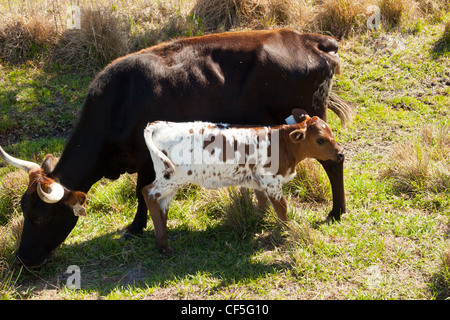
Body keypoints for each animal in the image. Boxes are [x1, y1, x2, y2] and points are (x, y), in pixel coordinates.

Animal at [0, 28, 348, 268]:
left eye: (41, 217)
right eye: (23, 209)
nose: (23, 259)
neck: (117, 102)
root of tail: (310, 39)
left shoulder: (146, 159)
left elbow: (141, 192)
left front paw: (136, 227)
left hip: (315, 124)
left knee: (334, 161)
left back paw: (337, 211)